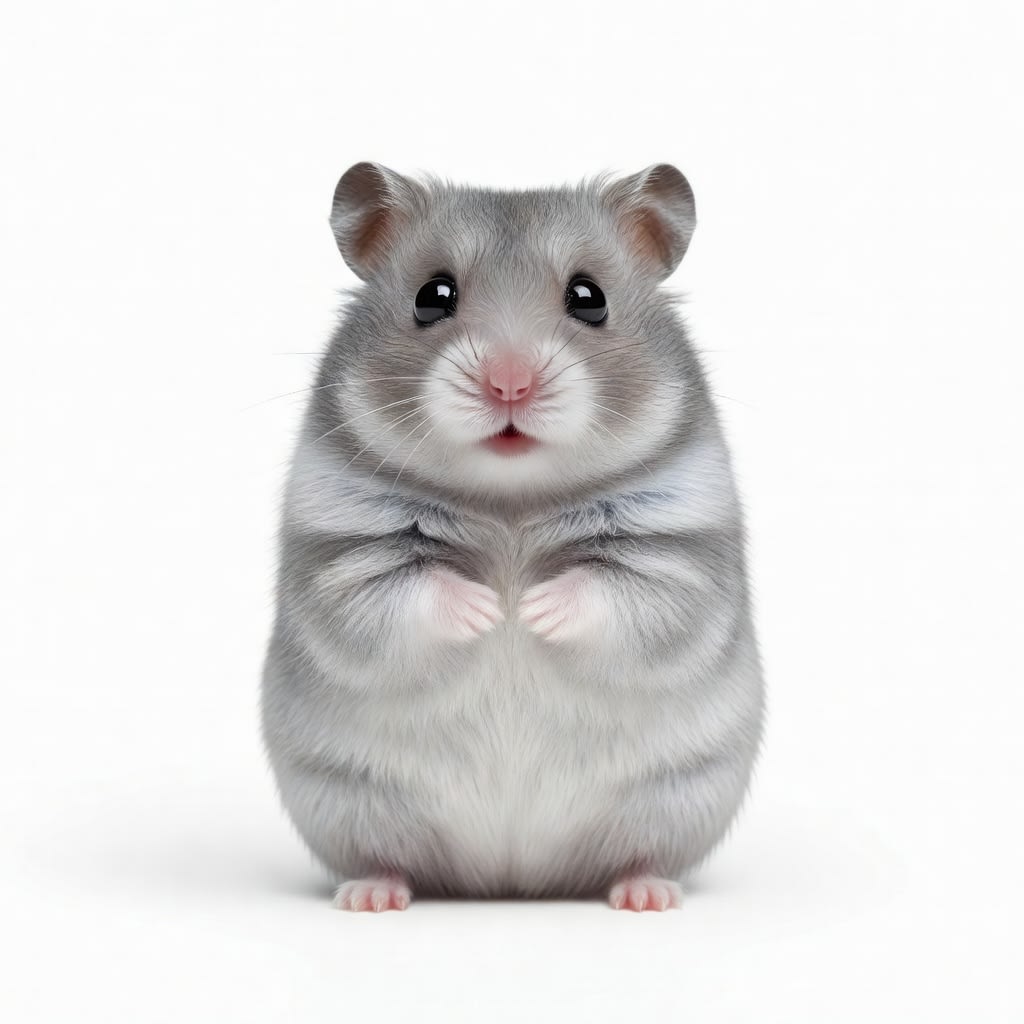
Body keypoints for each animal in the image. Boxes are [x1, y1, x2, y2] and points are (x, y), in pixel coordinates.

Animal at [261, 161, 765, 912]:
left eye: (589, 298)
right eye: (432, 296)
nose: (509, 384)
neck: (511, 499)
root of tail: (511, 878)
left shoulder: (675, 559)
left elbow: (611, 591)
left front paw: (527, 610)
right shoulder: (346, 561)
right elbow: (408, 591)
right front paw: (489, 611)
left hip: (678, 796)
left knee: (641, 854)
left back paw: (645, 895)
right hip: (346, 798)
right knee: (384, 857)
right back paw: (372, 896)